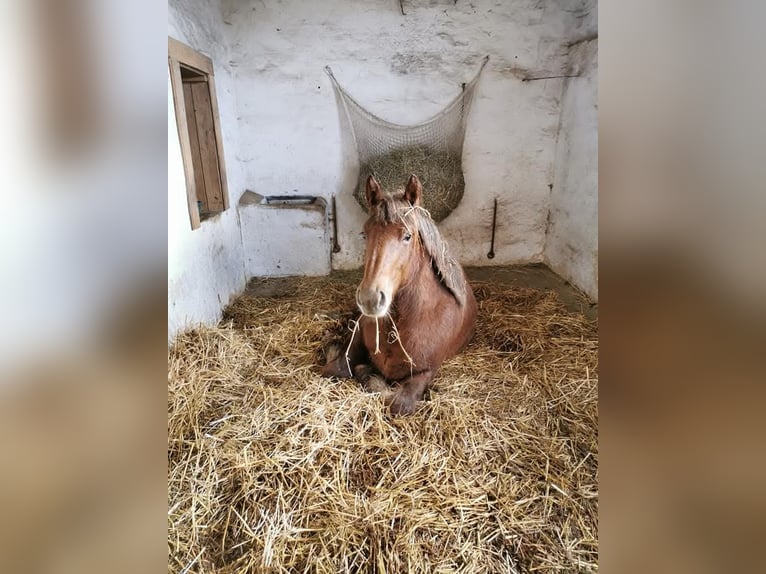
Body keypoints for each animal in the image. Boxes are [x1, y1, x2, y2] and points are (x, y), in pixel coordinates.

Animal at [322, 174, 477, 415]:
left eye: (407, 236)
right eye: (365, 234)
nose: (370, 298)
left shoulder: (426, 371)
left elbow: (398, 402)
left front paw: (369, 374)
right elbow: (336, 368)